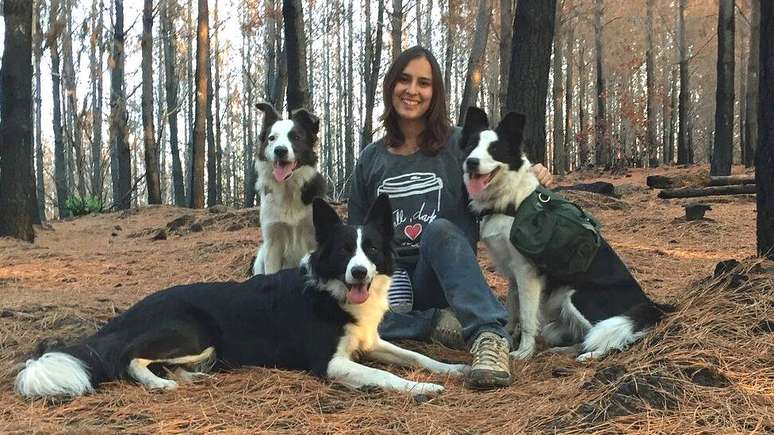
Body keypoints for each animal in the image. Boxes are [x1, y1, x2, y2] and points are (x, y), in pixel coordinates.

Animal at [16, 196, 466, 400]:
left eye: (370, 249)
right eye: (342, 252)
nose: (359, 272)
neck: (333, 292)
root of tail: (127, 314)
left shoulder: (369, 341)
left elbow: (416, 356)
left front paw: (454, 369)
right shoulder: (330, 363)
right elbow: (386, 375)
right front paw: (422, 389)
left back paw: (190, 377)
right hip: (194, 331)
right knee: (131, 358)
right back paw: (161, 383)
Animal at [460, 107, 672, 362]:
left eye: (494, 150)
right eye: (471, 146)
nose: (471, 163)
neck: (508, 201)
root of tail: (650, 306)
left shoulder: (527, 272)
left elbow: (527, 317)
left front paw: (523, 352)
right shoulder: (512, 273)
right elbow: (513, 310)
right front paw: (507, 336)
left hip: (577, 296)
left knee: (613, 338)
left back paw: (591, 355)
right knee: (582, 336)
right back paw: (564, 350)